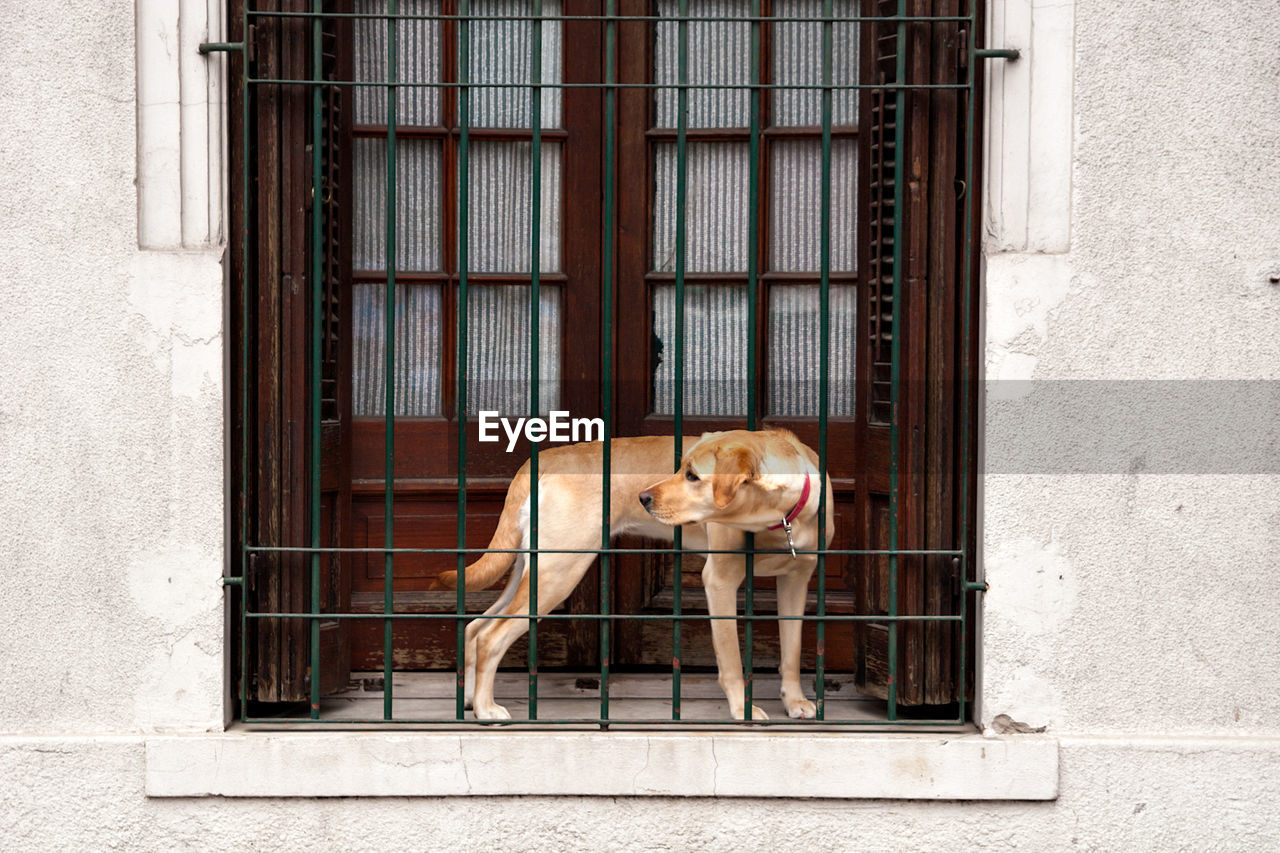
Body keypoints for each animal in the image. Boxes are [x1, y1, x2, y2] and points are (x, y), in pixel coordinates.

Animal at [435, 425, 834, 717]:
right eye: (681, 469)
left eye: (691, 475)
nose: (643, 497)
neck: (780, 516)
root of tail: (543, 459)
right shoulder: (719, 581)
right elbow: (731, 658)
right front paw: (741, 711)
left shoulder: (797, 581)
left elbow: (792, 650)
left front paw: (795, 701)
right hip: (558, 572)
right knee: (491, 637)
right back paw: (486, 709)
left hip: (530, 569)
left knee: (476, 627)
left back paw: (470, 699)